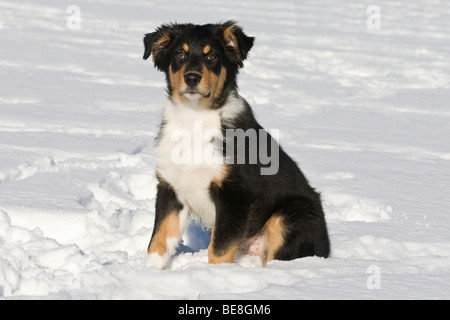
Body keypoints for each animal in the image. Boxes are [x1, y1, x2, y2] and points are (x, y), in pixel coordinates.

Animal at [144, 21, 330, 268]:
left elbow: (219, 248)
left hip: (293, 214)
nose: (192, 78)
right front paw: (149, 272)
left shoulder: (235, 193)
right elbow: (158, 241)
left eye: (212, 56)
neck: (195, 117)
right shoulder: (171, 188)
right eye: (179, 55)